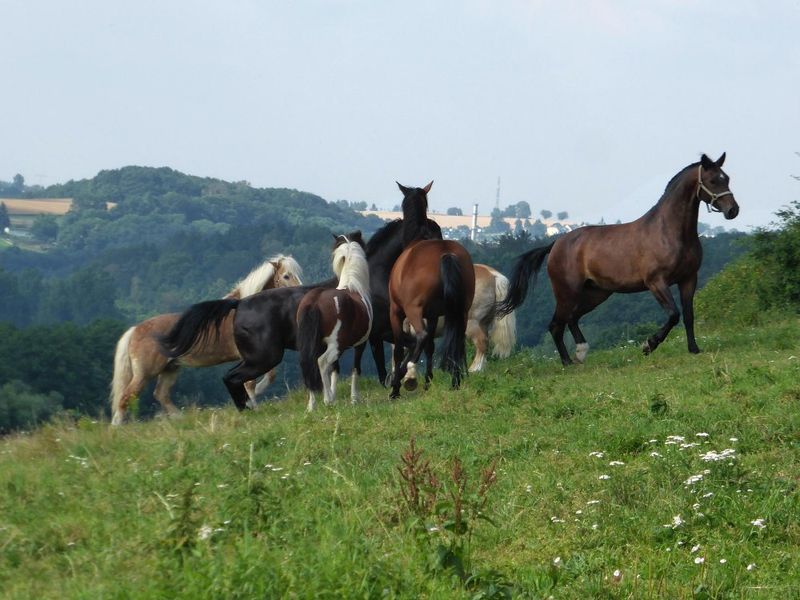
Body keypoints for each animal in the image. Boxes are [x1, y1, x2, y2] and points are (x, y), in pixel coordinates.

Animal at [109, 255, 304, 424]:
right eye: (286, 276)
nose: (301, 294)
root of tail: (135, 330)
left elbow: (268, 376)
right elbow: (252, 382)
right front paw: (252, 404)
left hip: (171, 369)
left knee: (160, 394)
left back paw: (180, 419)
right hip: (145, 373)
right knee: (125, 398)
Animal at [296, 232, 372, 410]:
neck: (353, 286)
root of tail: (315, 301)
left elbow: (335, 370)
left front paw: (335, 395)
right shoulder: (360, 343)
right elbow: (355, 369)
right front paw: (353, 399)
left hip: (316, 345)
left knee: (309, 364)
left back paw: (312, 406)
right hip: (336, 345)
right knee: (321, 362)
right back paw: (327, 399)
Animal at [388, 239, 476, 398]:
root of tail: (446, 252)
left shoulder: (395, 312)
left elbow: (398, 350)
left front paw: (395, 387)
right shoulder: (432, 316)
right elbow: (430, 347)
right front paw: (427, 382)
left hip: (413, 309)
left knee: (421, 335)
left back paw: (410, 374)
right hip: (462, 313)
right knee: (457, 344)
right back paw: (455, 383)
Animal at [496, 152, 740, 364]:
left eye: (726, 178)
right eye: (712, 180)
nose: (733, 210)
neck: (670, 231)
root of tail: (556, 243)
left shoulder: (689, 279)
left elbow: (688, 315)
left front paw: (694, 349)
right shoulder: (656, 282)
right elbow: (673, 314)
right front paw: (649, 345)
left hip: (597, 293)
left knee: (572, 318)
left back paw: (580, 353)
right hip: (567, 292)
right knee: (556, 324)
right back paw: (567, 362)